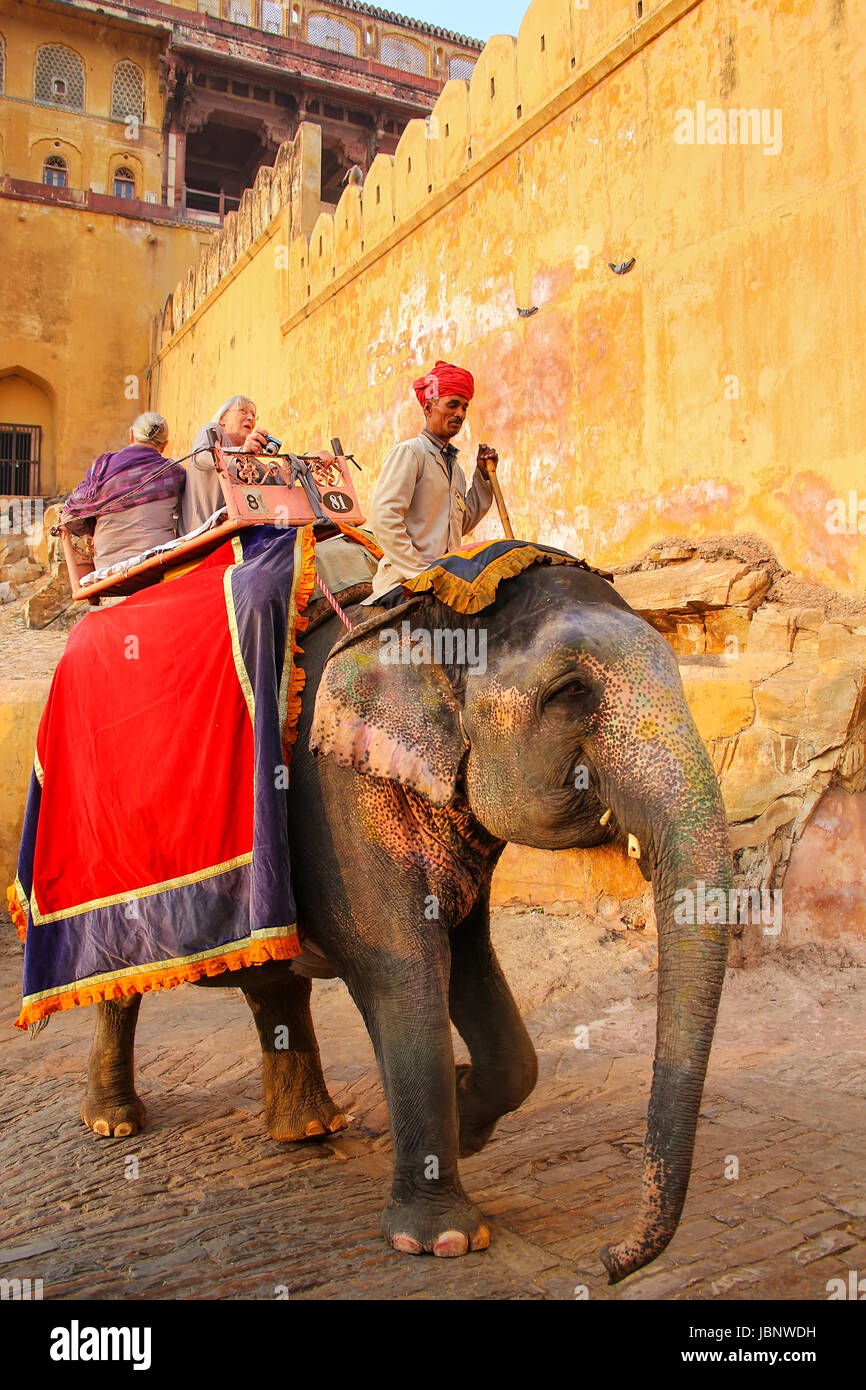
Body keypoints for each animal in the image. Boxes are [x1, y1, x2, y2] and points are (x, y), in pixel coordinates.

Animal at [79, 560, 732, 1284]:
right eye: (569, 693)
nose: (608, 1262)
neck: (426, 616)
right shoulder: (339, 798)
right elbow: (402, 969)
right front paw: (442, 1240)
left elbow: (473, 970)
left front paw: (467, 1118)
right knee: (114, 982)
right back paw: (114, 1125)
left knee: (275, 981)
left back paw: (310, 1129)